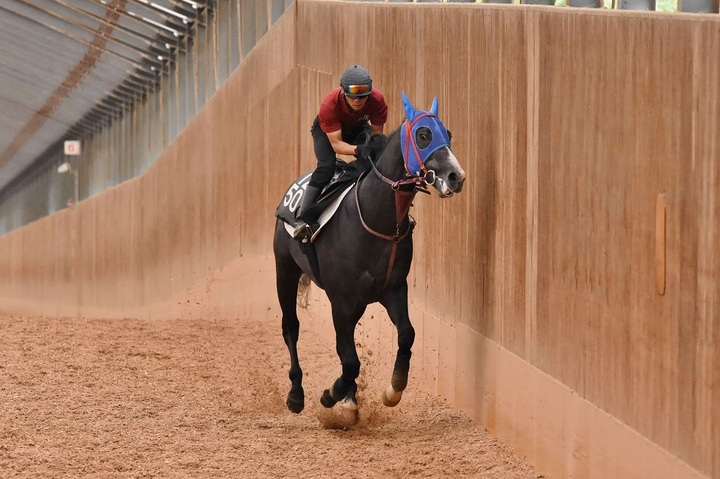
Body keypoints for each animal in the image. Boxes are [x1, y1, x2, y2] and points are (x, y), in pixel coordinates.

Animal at [273, 92, 466, 421]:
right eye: (423, 135)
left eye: (448, 134)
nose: (456, 177)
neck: (376, 219)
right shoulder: (341, 299)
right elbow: (349, 359)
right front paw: (330, 395)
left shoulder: (393, 289)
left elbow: (406, 335)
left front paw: (393, 390)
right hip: (284, 270)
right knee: (291, 327)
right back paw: (297, 395)